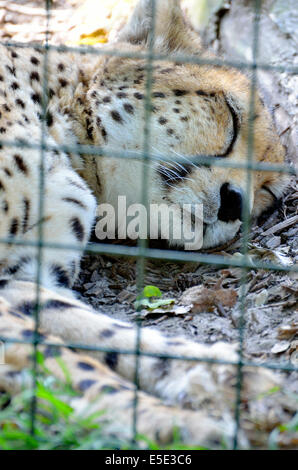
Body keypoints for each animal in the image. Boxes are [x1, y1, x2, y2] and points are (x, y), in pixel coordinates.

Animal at [0, 0, 288, 448]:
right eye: (232, 116)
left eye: (268, 193)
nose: (234, 203)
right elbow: (59, 355)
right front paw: (169, 422)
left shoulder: (24, 277)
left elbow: (96, 331)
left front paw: (215, 375)